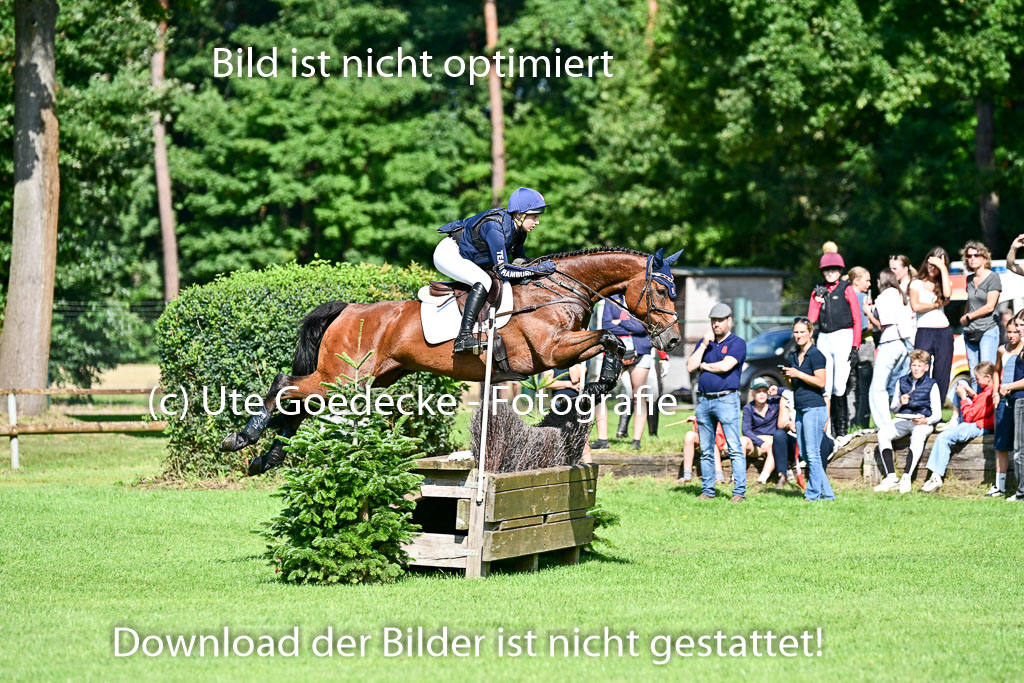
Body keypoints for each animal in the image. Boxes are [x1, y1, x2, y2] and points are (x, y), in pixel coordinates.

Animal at [223, 247, 683, 474]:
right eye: (662, 291)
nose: (675, 339)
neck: (556, 289)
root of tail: (348, 309)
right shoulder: (549, 351)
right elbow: (610, 337)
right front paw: (596, 386)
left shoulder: (562, 348)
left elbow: (613, 344)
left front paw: (595, 388)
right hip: (344, 376)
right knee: (284, 385)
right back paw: (242, 438)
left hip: (367, 380)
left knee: (301, 404)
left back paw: (266, 459)